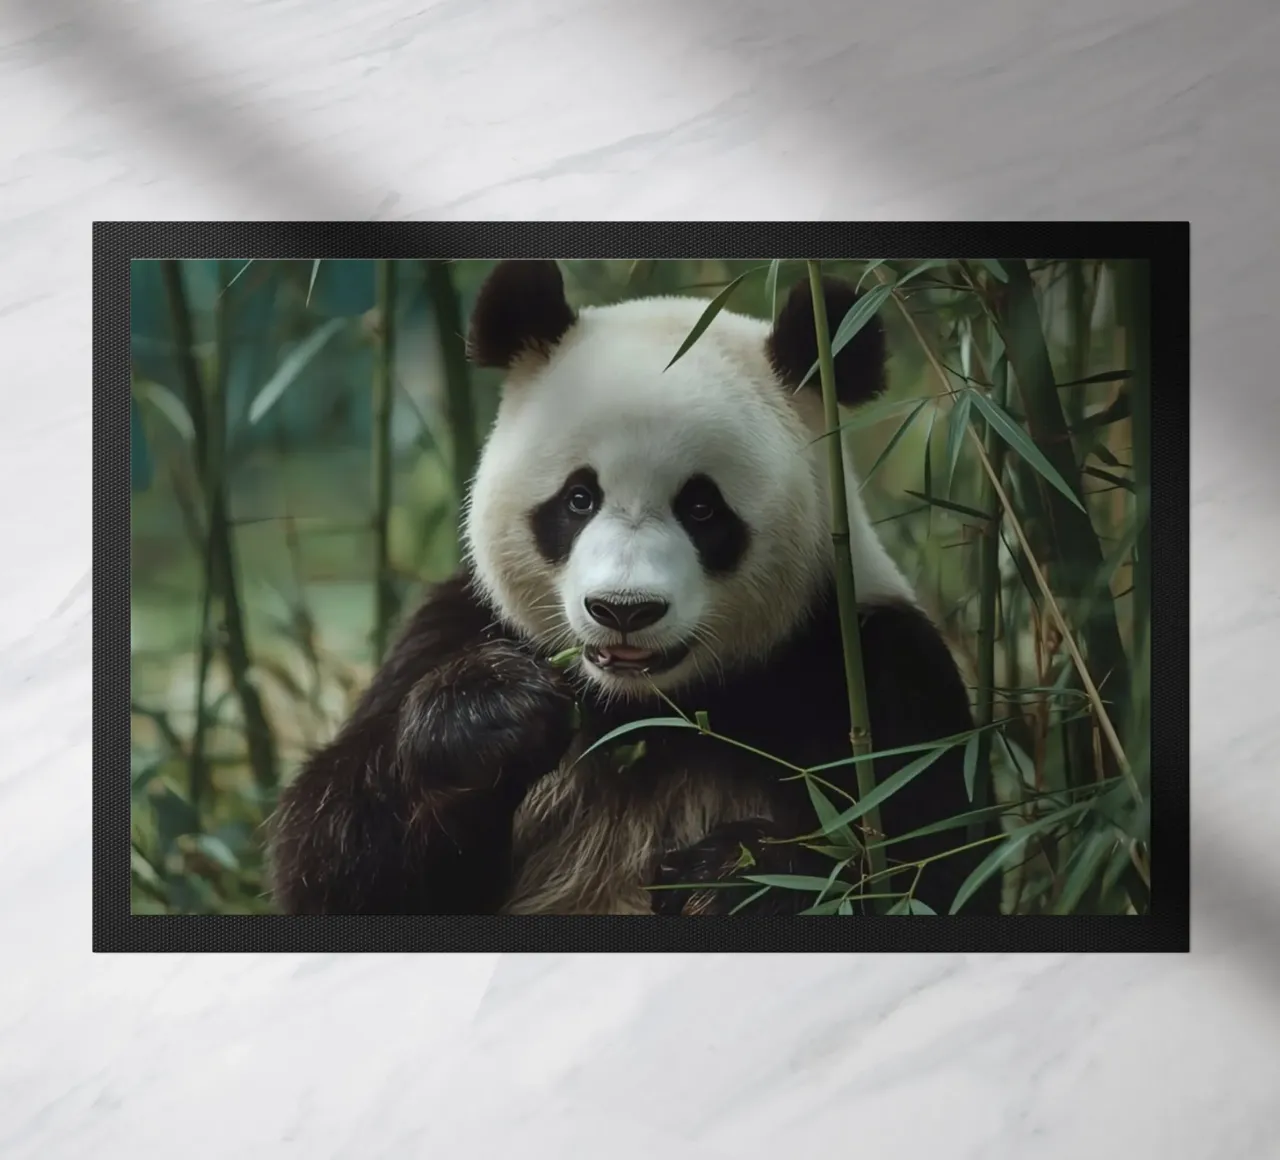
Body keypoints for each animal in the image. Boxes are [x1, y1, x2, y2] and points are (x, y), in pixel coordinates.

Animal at [267, 259, 1001, 917]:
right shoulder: (456, 627)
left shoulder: (875, 672)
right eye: (579, 498)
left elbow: (929, 866)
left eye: (702, 508)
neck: (648, 707)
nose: (623, 610)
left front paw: (730, 875)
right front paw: (490, 711)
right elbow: (338, 862)